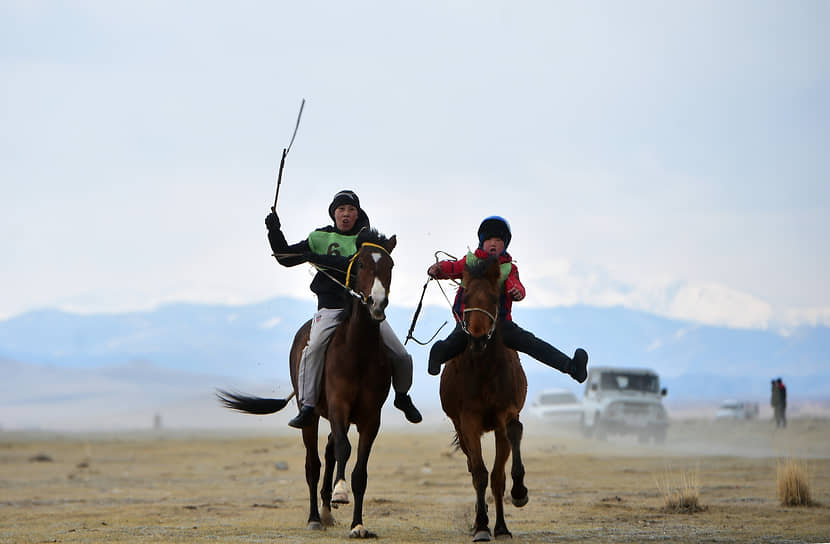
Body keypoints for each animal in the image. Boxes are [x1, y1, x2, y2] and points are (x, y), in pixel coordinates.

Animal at [218, 227, 400, 536]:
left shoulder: (370, 418)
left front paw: (358, 525)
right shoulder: (338, 406)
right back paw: (316, 516)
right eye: (362, 264)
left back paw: (326, 511)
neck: (358, 351)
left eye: (390, 265)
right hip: (312, 414)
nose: (377, 302)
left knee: (328, 451)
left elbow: (360, 471)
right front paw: (340, 493)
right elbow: (343, 449)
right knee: (313, 463)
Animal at [438, 258, 528, 540]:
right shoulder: (469, 421)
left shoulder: (505, 414)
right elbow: (480, 473)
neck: (485, 369)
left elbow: (500, 473)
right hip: (461, 428)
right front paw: (481, 526)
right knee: (472, 467)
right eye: (465, 297)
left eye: (493, 298)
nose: (477, 339)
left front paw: (508, 513)